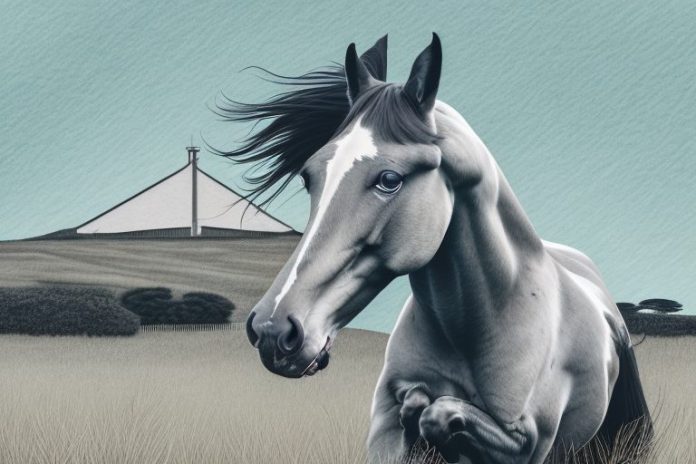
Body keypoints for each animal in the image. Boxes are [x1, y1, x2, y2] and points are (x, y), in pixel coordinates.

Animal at [217, 34, 653, 463]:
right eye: (309, 177)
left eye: (389, 179)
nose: (273, 329)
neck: (487, 318)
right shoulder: (383, 431)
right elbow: (415, 405)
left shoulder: (529, 442)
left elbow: (439, 412)